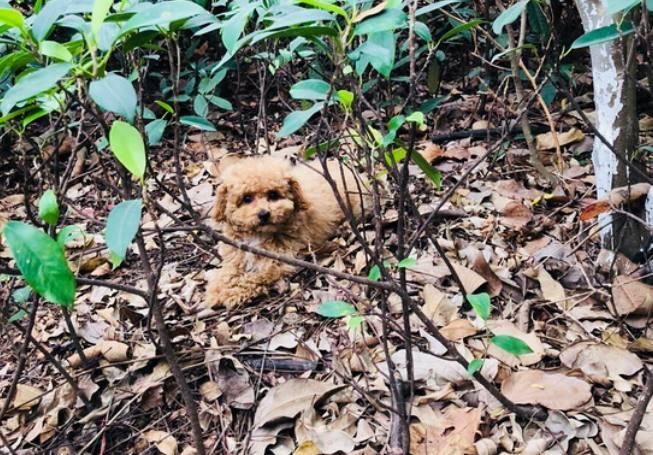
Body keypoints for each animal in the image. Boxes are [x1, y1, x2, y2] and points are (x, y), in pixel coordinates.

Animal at [205, 156, 366, 310]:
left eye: (273, 194)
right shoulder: (236, 255)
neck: (258, 235)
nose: (264, 214)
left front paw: (232, 292)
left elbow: (255, 276)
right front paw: (216, 289)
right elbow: (229, 271)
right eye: (247, 198)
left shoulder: (280, 261)